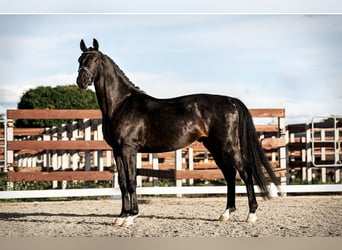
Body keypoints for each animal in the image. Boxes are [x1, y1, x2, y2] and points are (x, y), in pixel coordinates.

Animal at [76, 38, 280, 227]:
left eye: (94, 59)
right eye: (79, 59)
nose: (81, 81)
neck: (121, 104)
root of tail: (230, 100)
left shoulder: (129, 149)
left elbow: (132, 181)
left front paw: (131, 216)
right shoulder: (117, 151)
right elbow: (124, 184)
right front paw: (121, 216)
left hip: (228, 145)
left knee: (245, 172)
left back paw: (251, 214)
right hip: (215, 147)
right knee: (230, 174)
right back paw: (226, 213)